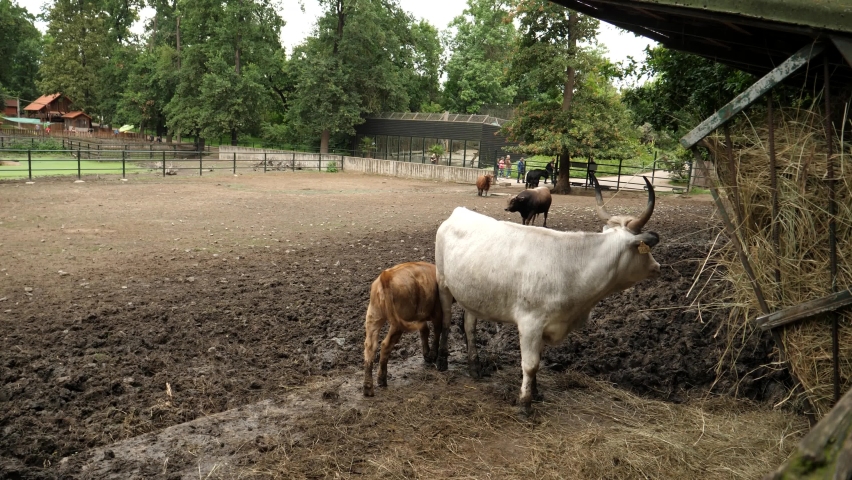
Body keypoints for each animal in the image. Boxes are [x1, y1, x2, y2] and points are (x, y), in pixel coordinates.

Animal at [363, 262, 443, 397]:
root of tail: (386, 276)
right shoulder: (438, 311)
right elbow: (437, 330)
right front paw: (432, 354)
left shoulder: (420, 317)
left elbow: (424, 331)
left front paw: (427, 354)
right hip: (397, 323)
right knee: (385, 345)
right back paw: (382, 379)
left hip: (373, 316)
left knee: (370, 347)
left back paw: (368, 387)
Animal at [435, 174, 660, 415]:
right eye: (643, 250)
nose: (657, 266)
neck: (572, 266)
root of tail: (460, 211)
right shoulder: (530, 323)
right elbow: (530, 364)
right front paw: (525, 404)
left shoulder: (546, 324)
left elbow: (539, 362)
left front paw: (536, 393)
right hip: (443, 283)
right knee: (446, 322)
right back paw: (442, 361)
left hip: (472, 295)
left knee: (469, 327)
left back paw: (475, 366)